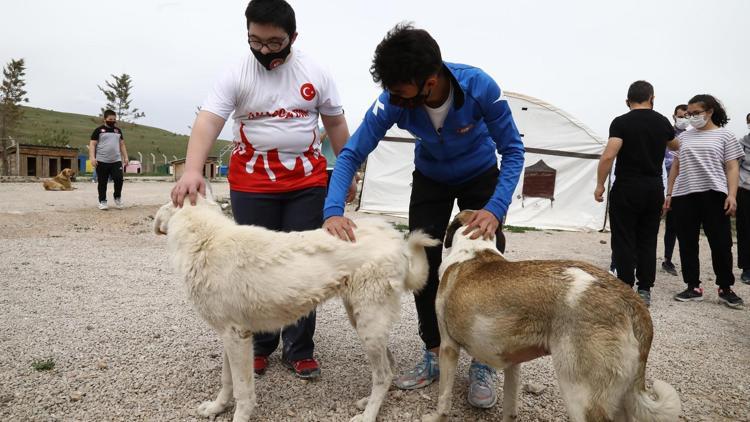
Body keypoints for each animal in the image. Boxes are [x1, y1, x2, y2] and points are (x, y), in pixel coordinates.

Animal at [154, 195, 440, 422]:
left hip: (369, 324)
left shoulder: (237, 336)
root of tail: (395, 239)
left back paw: (368, 415)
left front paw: (239, 416)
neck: (206, 239)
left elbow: (243, 390)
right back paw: (367, 403)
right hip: (363, 320)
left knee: (382, 374)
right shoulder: (229, 334)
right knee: (388, 368)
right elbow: (227, 381)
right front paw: (216, 407)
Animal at [424, 211, 680, 422]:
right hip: (620, 398)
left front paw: (436, 417)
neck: (474, 250)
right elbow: (510, 406)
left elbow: (443, 398)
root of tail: (629, 299)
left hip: (579, 396)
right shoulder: (512, 361)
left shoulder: (448, 347)